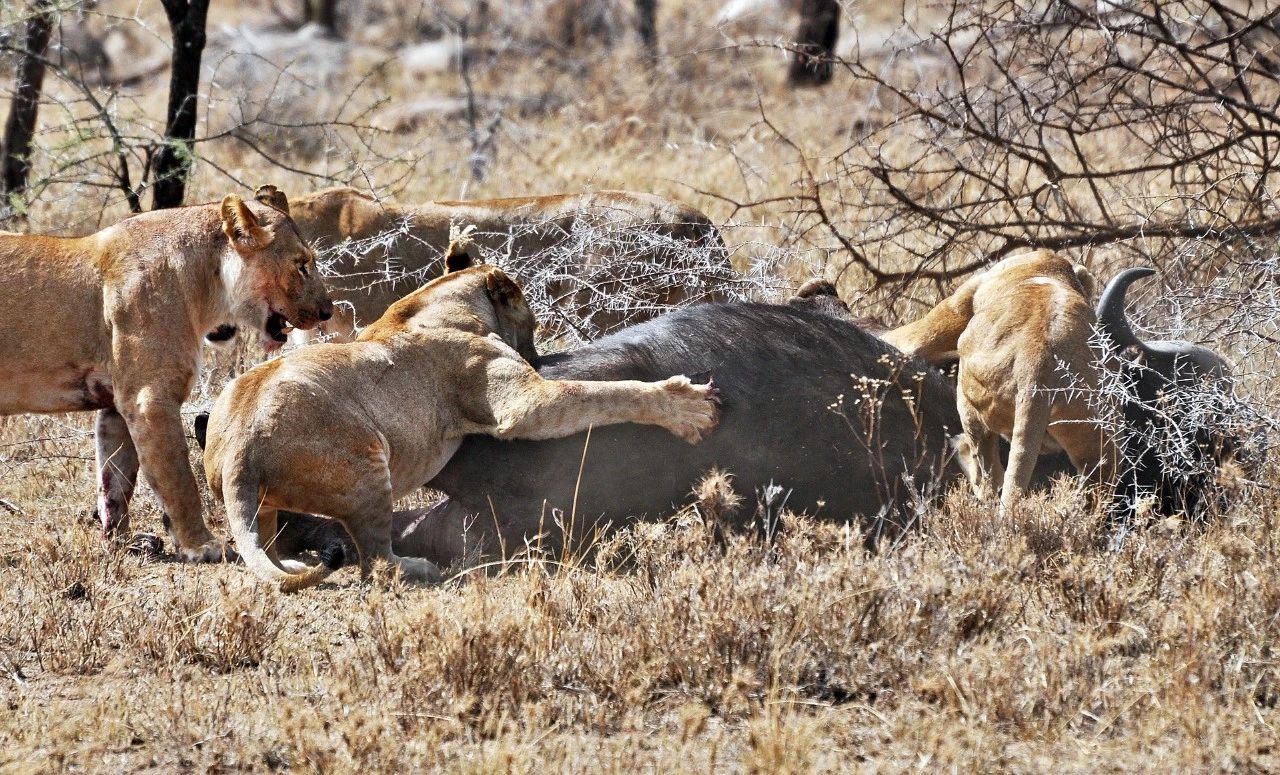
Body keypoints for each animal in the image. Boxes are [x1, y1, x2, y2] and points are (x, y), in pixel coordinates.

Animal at [1, 187, 330, 561]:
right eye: (301, 264)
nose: (327, 310)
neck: (205, 285)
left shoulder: (117, 405)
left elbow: (115, 480)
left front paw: (120, 542)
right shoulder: (150, 399)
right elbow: (178, 479)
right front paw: (201, 545)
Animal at [199, 233, 721, 589]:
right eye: (532, 321)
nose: (537, 354)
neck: (433, 303)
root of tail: (239, 450)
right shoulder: (522, 404)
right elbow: (606, 393)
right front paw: (687, 405)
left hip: (266, 491)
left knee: (269, 539)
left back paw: (288, 564)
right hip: (366, 462)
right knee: (377, 560)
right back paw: (417, 567)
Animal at [880, 251, 1121, 509]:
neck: (1046, 268)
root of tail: (1038, 374)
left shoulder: (956, 307)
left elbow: (906, 339)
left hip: (970, 393)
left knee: (989, 477)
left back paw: (961, 448)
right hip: (1097, 434)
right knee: (1098, 487)